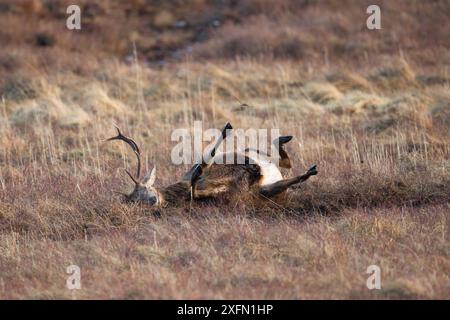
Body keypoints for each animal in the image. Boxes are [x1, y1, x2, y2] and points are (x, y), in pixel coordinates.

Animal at [106, 122, 316, 208]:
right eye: (135, 201)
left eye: (145, 188)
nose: (153, 201)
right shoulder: (235, 196)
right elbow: (198, 181)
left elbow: (201, 164)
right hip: (267, 191)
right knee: (287, 170)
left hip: (256, 159)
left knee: (279, 157)